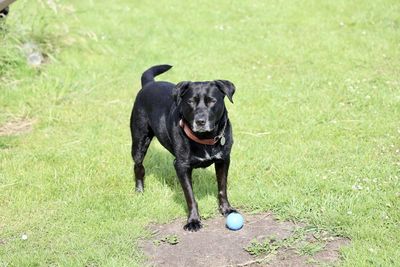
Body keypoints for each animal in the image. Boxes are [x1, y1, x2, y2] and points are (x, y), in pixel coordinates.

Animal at [131, 65, 238, 232]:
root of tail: (149, 84)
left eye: (212, 101)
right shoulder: (181, 165)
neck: (204, 138)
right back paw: (140, 190)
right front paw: (193, 220)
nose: (200, 121)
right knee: (138, 167)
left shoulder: (223, 160)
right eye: (191, 102)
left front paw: (226, 209)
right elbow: (190, 196)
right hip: (139, 141)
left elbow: (222, 187)